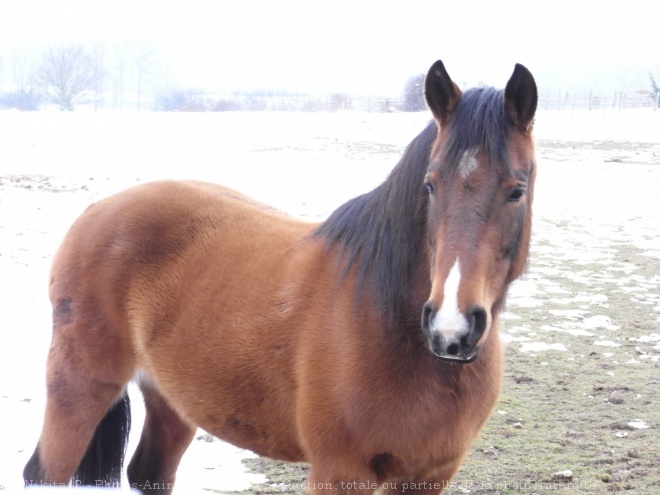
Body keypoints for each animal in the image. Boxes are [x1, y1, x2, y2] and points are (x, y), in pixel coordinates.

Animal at [23, 60, 540, 494]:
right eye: (430, 185)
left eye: (517, 189)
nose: (451, 329)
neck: (390, 326)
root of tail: (95, 211)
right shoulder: (339, 473)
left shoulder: (429, 476)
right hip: (79, 390)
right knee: (44, 471)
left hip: (172, 400)